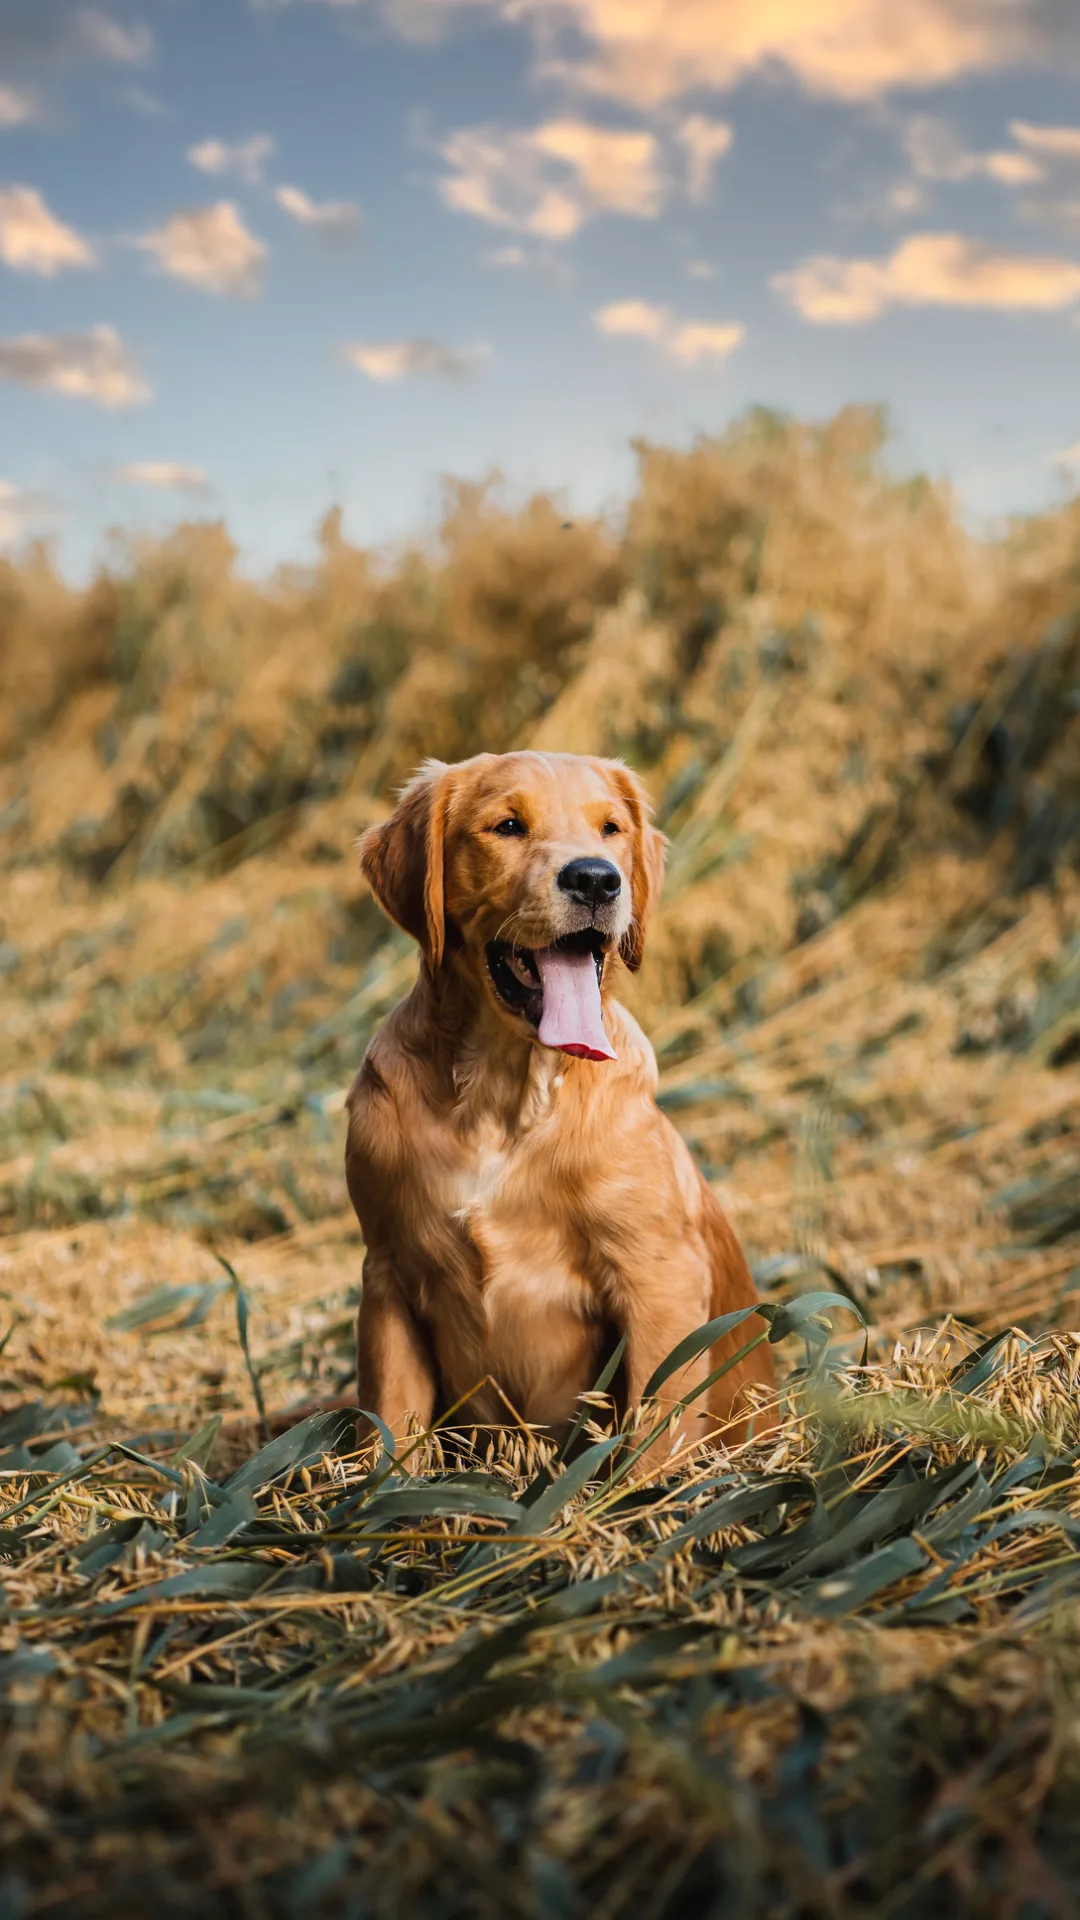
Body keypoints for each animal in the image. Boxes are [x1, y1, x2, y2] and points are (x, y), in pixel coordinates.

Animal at [340, 748, 768, 1451]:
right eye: (508, 825)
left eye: (611, 829)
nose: (596, 880)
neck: (504, 1095)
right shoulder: (388, 1274)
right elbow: (391, 1425)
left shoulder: (661, 1278)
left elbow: (656, 1433)